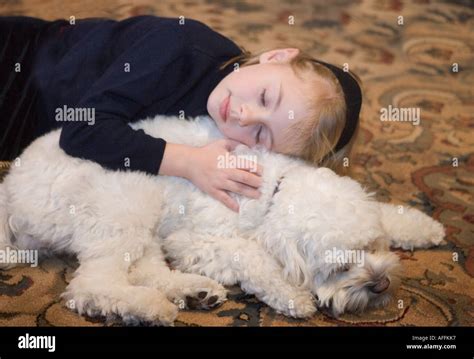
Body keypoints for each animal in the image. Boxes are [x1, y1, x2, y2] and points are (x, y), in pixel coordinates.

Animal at [0, 116, 444, 324]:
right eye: (339, 268)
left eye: (372, 247)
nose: (381, 285)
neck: (274, 188)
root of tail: (10, 188)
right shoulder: (193, 241)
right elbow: (251, 257)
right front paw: (291, 294)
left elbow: (388, 213)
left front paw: (425, 227)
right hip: (126, 197)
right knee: (93, 284)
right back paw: (150, 306)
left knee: (145, 268)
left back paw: (194, 292)